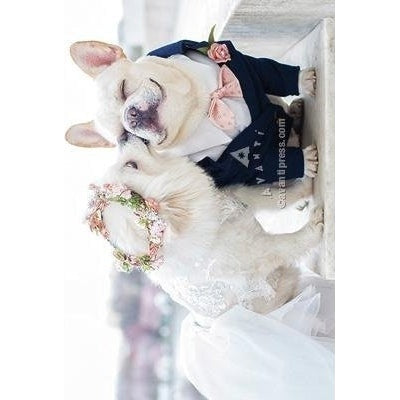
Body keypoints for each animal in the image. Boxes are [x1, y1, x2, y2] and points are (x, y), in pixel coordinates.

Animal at [86, 137, 324, 318]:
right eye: (132, 165)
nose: (123, 136)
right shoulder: (259, 253)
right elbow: (290, 243)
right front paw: (316, 225)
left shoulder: (239, 196)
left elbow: (275, 198)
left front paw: (305, 183)